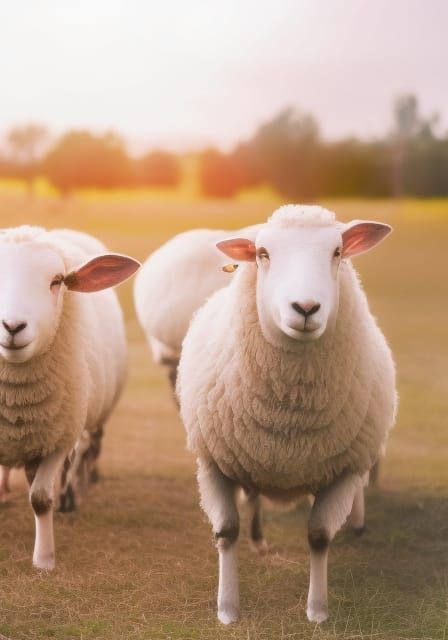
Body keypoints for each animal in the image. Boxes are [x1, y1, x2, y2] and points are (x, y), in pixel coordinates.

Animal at [0, 225, 139, 570]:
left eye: (57, 281)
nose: (12, 326)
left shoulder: (60, 439)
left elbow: (40, 499)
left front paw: (44, 560)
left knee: (86, 454)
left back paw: (72, 497)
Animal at [177, 205, 397, 624]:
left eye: (337, 252)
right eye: (263, 254)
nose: (306, 308)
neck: (290, 413)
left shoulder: (344, 471)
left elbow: (319, 536)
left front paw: (317, 610)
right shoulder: (212, 462)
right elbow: (226, 532)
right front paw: (227, 609)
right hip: (250, 455)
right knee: (254, 496)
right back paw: (259, 541)